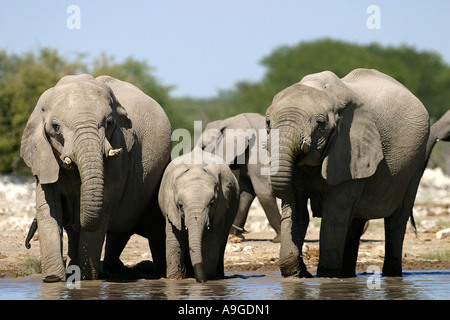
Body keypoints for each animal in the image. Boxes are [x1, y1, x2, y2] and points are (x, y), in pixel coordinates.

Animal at [19, 74, 171, 282]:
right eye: (55, 127)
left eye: (109, 123)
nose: (27, 246)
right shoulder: (42, 156)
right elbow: (49, 210)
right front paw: (53, 280)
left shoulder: (119, 155)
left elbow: (103, 211)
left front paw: (85, 279)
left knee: (152, 226)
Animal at [160, 148, 241, 282]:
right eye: (180, 205)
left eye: (212, 203)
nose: (201, 281)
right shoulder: (170, 207)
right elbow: (174, 239)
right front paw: (174, 279)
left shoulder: (221, 206)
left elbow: (211, 239)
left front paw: (209, 278)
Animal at [266, 68, 430, 278]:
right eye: (268, 123)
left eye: (320, 123)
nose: (305, 270)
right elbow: (298, 214)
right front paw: (297, 274)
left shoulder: (350, 150)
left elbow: (333, 216)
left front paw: (326, 276)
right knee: (355, 221)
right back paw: (347, 275)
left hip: (416, 161)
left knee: (396, 220)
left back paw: (391, 275)